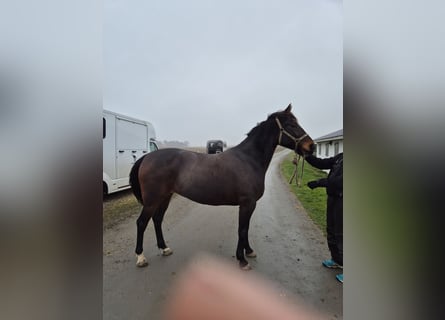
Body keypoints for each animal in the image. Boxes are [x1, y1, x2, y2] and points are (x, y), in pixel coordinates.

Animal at [130, 104, 314, 268]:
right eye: (291, 125)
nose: (311, 146)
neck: (249, 160)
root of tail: (147, 157)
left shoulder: (250, 205)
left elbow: (246, 228)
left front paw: (249, 251)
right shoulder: (247, 203)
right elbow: (242, 229)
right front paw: (242, 260)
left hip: (165, 197)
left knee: (157, 219)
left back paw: (164, 248)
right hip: (152, 200)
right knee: (141, 223)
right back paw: (140, 257)